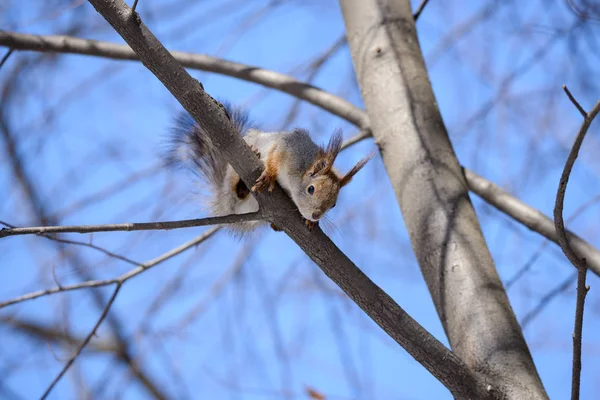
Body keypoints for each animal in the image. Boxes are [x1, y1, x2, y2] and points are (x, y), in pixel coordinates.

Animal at [166, 102, 372, 234]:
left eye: (334, 204)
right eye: (311, 189)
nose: (315, 215)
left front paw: (310, 221)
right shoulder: (286, 148)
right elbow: (273, 158)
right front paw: (269, 176)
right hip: (232, 177)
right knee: (236, 192)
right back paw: (244, 178)